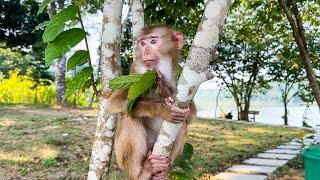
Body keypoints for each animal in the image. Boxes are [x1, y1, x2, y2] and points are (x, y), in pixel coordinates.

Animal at [105, 24, 195, 180]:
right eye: (143, 43)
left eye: (153, 41)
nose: (145, 51)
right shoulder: (137, 72)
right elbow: (114, 102)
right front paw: (162, 108)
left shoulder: (182, 76)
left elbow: (191, 114)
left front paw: (165, 87)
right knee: (128, 114)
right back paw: (142, 172)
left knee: (182, 124)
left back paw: (165, 168)